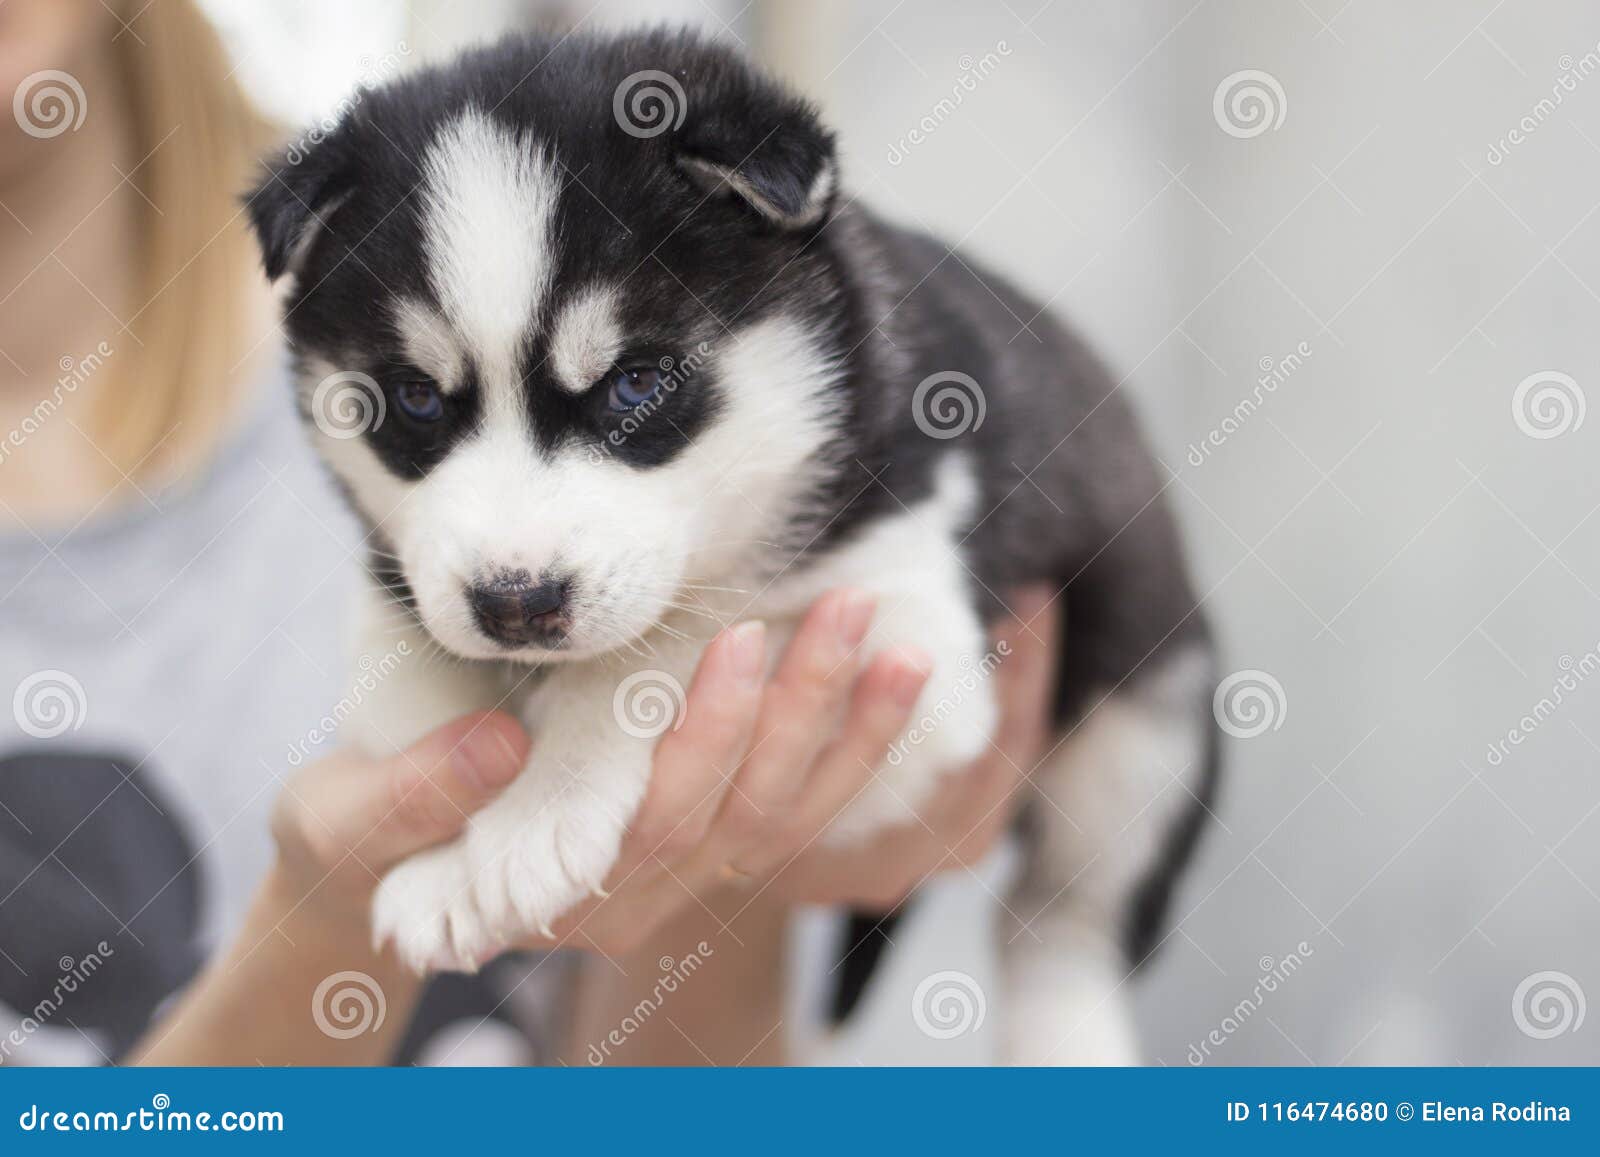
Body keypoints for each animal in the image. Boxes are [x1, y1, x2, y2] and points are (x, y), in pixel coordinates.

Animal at [249, 27, 1216, 1062]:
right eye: (417, 399)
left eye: (637, 384)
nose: (514, 604)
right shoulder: (399, 583)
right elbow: (398, 693)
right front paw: (442, 835)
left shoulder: (911, 626)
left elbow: (670, 645)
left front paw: (522, 824)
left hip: (1149, 726)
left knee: (1063, 919)